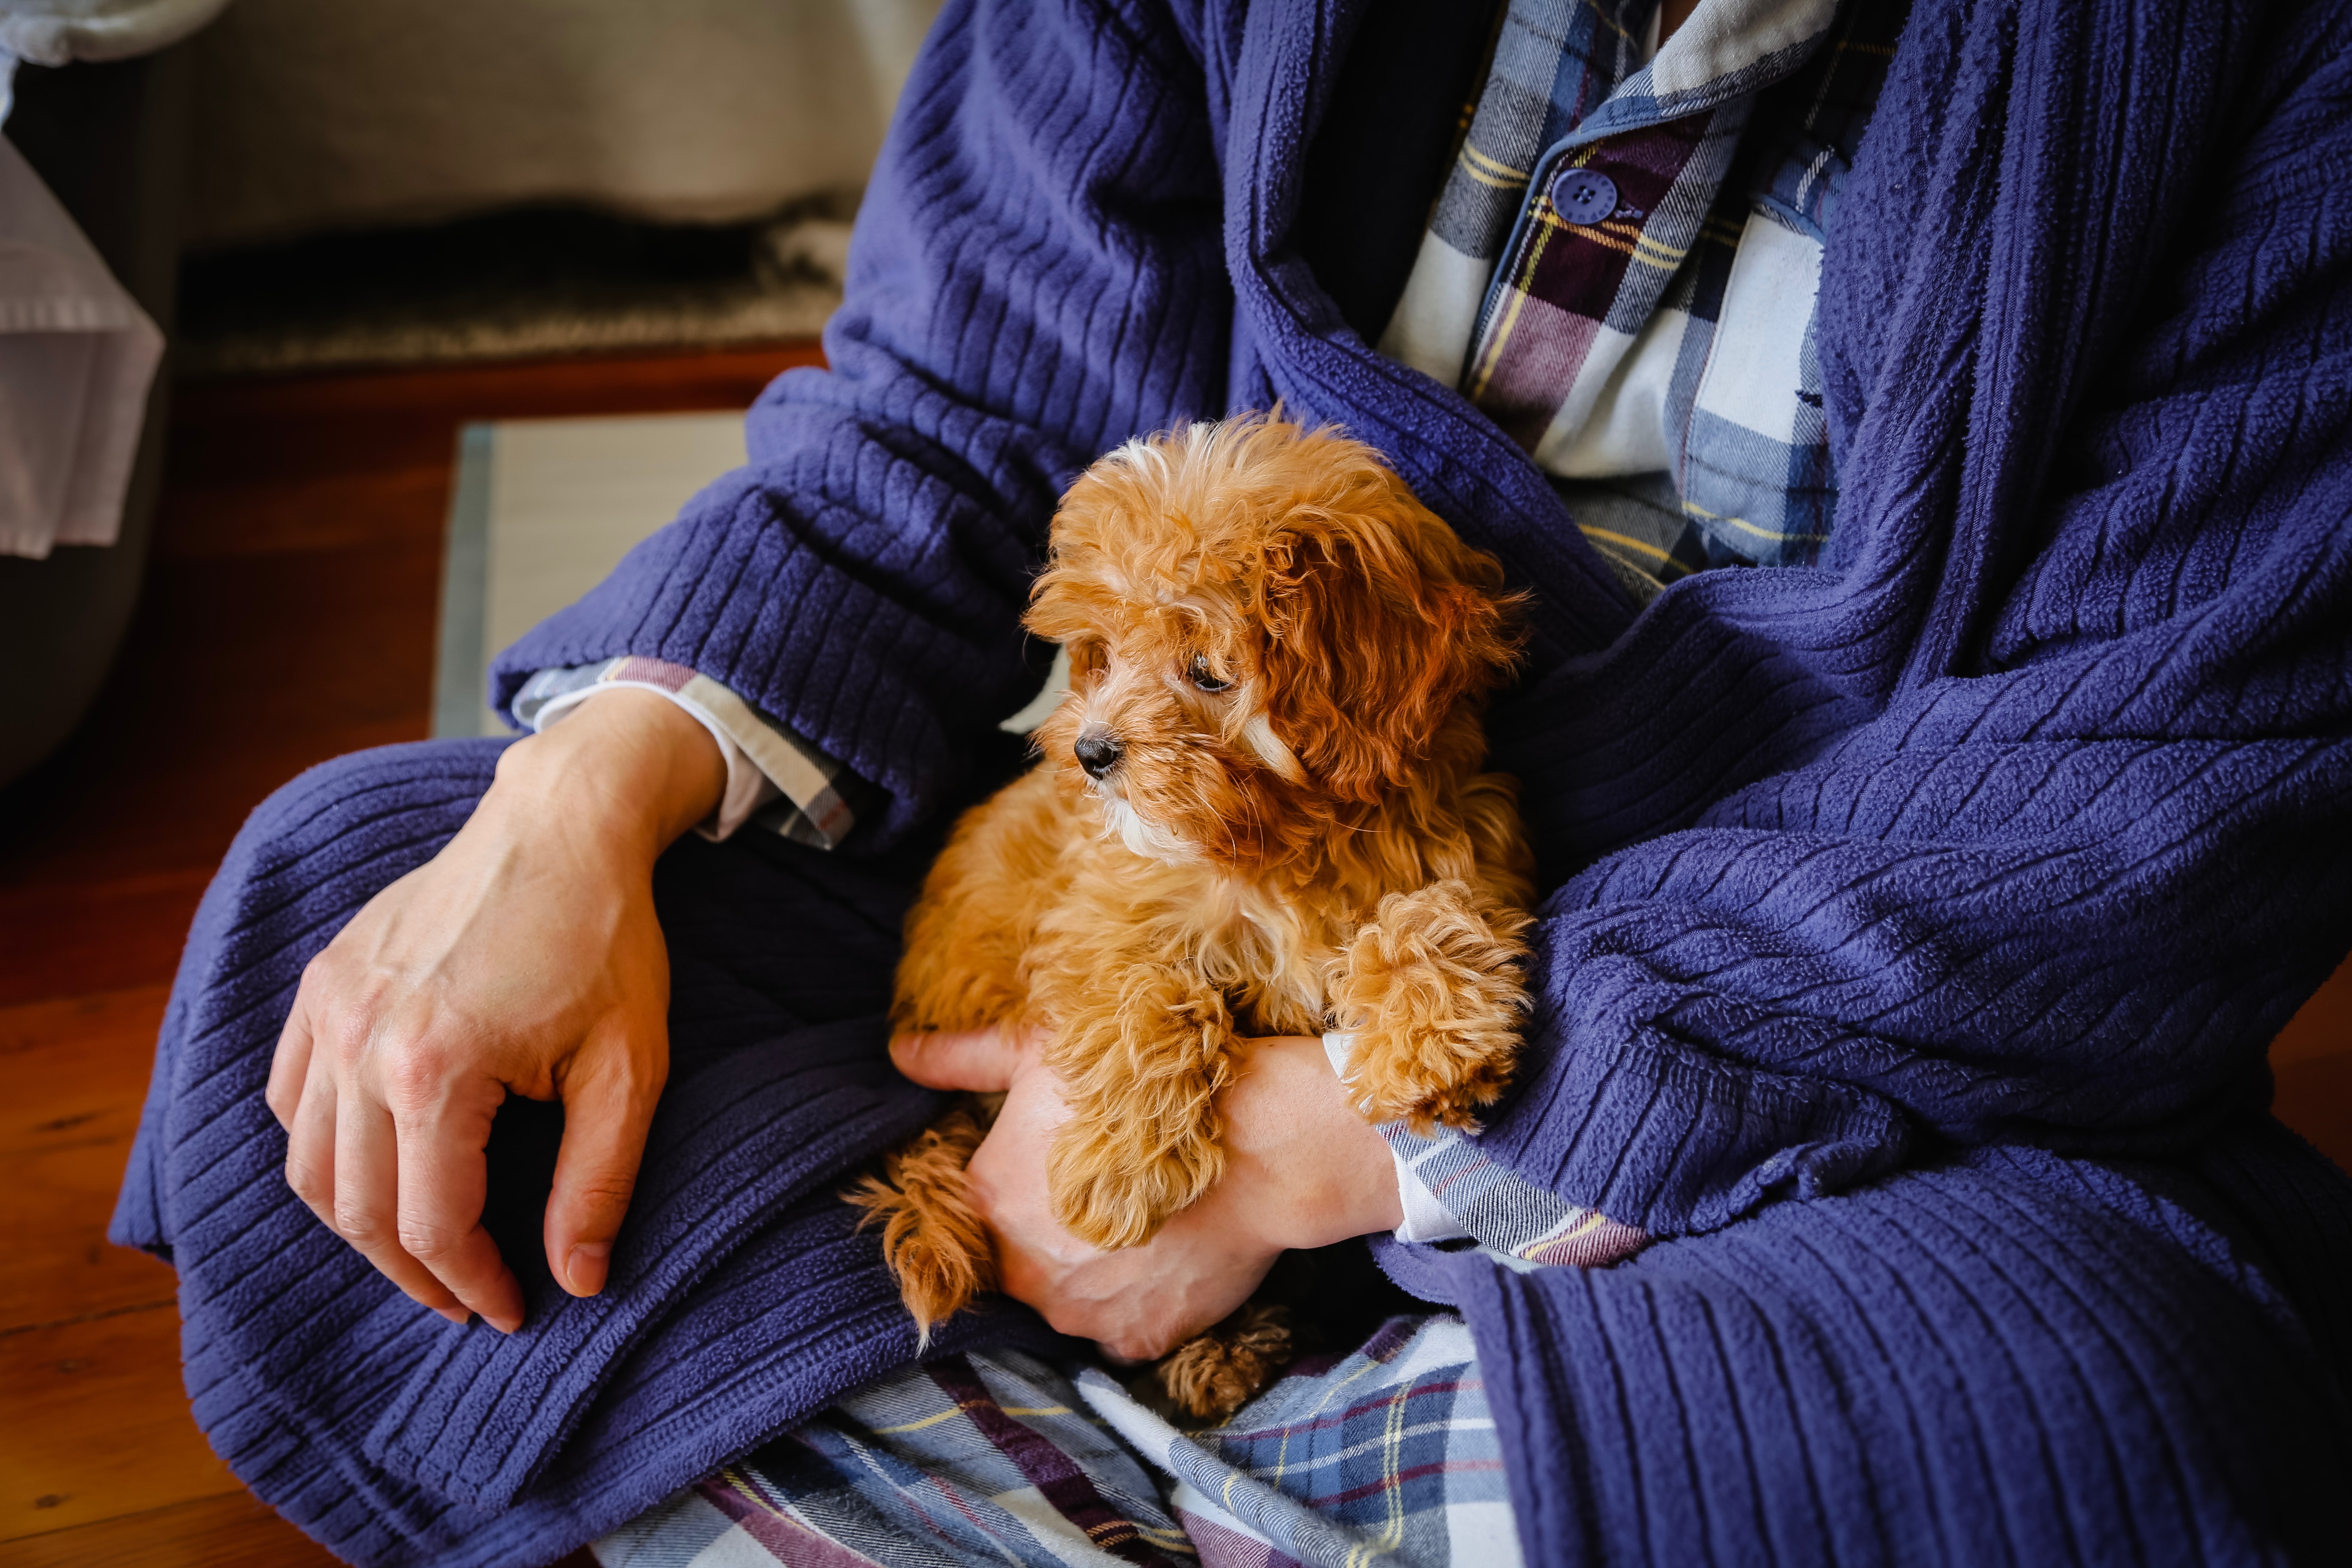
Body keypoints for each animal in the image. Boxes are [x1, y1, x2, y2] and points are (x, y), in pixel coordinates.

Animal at [856, 411, 1533, 1420]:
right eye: (1101, 653)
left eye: (1209, 670)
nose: (1092, 752)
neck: (1285, 848)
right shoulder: (1096, 911)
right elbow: (1145, 991)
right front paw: (1119, 1170)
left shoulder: (1469, 851)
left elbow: (1437, 915)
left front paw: (1429, 1044)